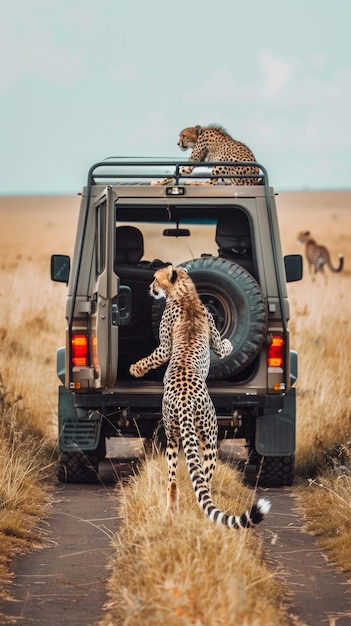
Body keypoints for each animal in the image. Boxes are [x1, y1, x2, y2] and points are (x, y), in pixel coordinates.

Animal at [131, 264, 270, 528]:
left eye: (155, 278)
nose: (150, 288)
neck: (185, 293)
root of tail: (185, 398)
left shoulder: (165, 347)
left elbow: (153, 357)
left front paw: (135, 368)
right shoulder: (178, 344)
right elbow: (221, 348)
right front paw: (135, 369)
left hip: (179, 436)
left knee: (181, 480)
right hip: (202, 437)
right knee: (197, 480)